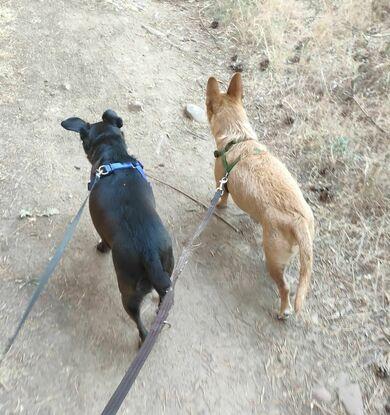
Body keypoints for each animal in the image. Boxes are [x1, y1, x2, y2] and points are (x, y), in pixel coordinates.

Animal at [61, 108, 174, 344]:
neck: (114, 155)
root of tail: (149, 253)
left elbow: (103, 240)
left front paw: (101, 248)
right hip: (167, 271)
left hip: (128, 293)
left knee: (139, 323)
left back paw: (142, 340)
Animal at [207, 74, 314, 318]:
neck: (238, 137)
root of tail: (299, 220)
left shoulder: (221, 183)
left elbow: (222, 198)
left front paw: (218, 207)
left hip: (273, 256)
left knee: (285, 288)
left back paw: (283, 311)